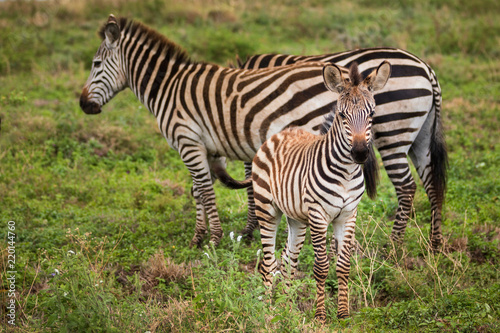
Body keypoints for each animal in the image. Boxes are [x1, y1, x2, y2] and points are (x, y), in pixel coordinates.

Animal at [222, 61, 390, 320]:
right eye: (342, 115)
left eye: (371, 114)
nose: (361, 153)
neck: (346, 173)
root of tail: (281, 132)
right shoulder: (318, 215)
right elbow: (321, 266)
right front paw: (320, 316)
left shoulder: (348, 215)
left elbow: (343, 265)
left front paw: (343, 314)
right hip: (267, 210)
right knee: (268, 262)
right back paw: (267, 309)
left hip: (297, 219)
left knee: (288, 260)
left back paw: (287, 308)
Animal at [236, 47, 448, 249]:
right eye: (341, 114)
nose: (360, 152)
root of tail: (427, 69)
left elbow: (256, 180)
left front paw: (249, 228)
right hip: (422, 136)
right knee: (432, 183)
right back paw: (435, 243)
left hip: (394, 133)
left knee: (406, 186)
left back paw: (394, 243)